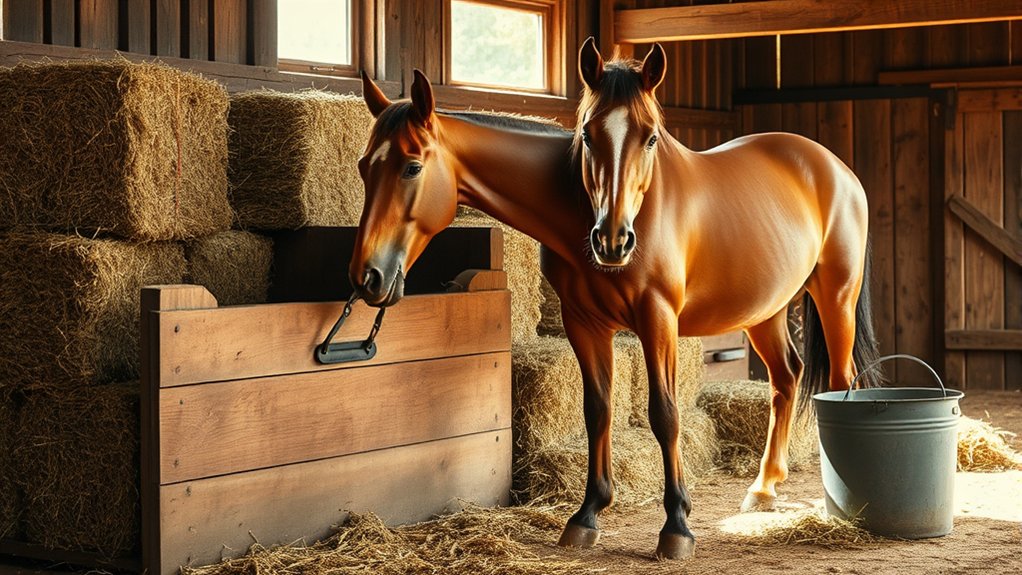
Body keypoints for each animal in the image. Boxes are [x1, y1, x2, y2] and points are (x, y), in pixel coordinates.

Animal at [350, 58, 878, 560]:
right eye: (362, 166)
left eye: (412, 167)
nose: (367, 276)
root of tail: (836, 168)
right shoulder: (584, 324)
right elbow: (598, 409)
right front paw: (586, 515)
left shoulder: (657, 318)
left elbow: (665, 414)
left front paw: (677, 526)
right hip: (764, 312)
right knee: (786, 378)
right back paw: (764, 487)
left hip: (836, 297)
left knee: (839, 383)